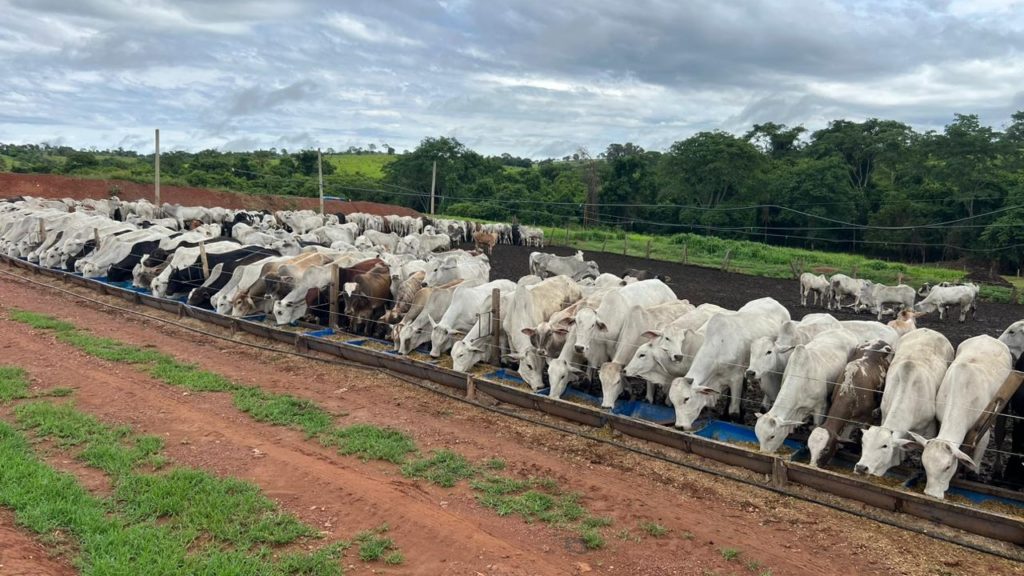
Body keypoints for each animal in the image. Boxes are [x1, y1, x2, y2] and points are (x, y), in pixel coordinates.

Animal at [663, 297, 790, 428]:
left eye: (686, 399)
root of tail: (771, 299)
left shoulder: (737, 378)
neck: (720, 345)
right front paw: (725, 416)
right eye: (673, 401)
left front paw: (736, 420)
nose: (679, 426)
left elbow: (733, 411)